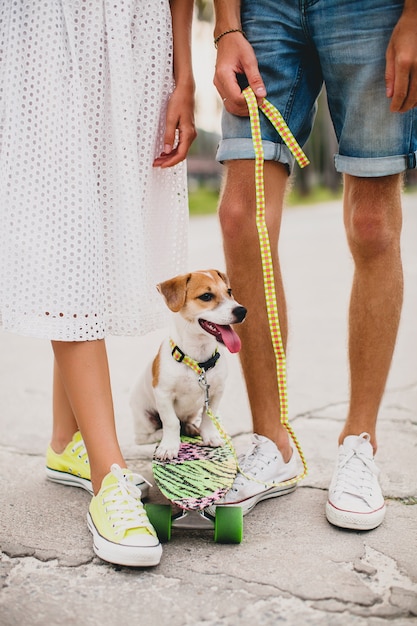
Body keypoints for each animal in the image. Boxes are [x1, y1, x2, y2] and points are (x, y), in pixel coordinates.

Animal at [130, 268, 245, 458]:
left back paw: (191, 428)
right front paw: (169, 446)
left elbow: (207, 417)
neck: (198, 361)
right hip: (144, 417)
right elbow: (171, 422)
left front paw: (210, 436)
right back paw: (160, 434)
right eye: (206, 296)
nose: (242, 311)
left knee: (185, 422)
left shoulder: (216, 392)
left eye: (229, 291)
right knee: (144, 437)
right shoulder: (163, 394)